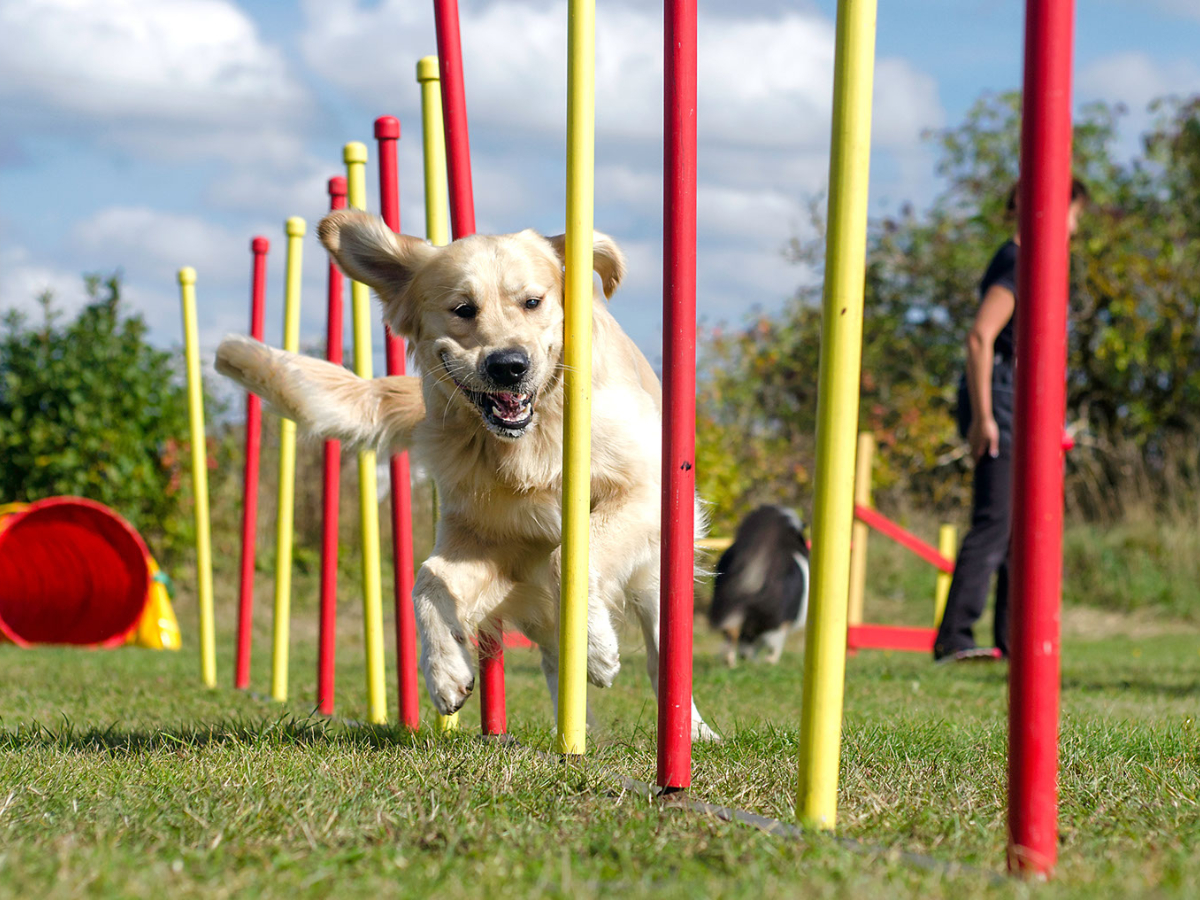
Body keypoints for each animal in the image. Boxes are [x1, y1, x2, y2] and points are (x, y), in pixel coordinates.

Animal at [705, 508, 811, 672]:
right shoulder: (784, 621)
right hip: (771, 615)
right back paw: (766, 660)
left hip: (727, 603)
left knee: (731, 632)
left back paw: (731, 662)